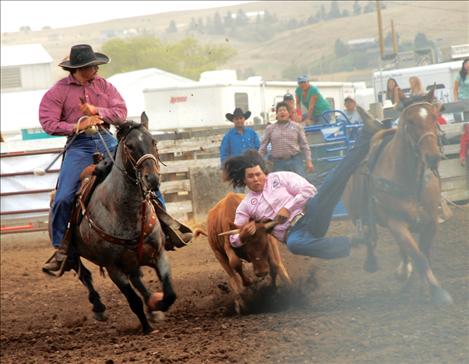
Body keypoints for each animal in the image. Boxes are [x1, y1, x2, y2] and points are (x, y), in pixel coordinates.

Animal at [342, 90, 452, 304]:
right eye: (410, 121)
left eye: (434, 117)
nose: (433, 157)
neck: (411, 181)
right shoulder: (396, 222)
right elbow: (419, 256)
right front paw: (437, 291)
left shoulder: (431, 221)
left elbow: (422, 254)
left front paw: (422, 287)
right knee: (368, 236)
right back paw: (374, 263)